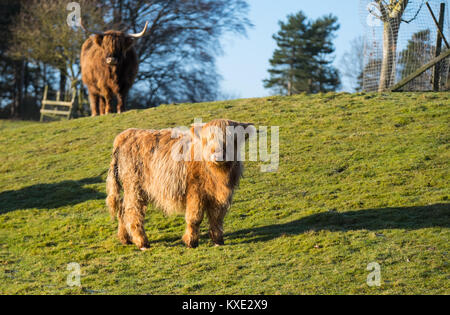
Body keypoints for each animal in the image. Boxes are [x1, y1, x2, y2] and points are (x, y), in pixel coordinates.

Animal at [103, 119, 255, 252]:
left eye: (231, 138)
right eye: (207, 139)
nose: (218, 155)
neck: (218, 175)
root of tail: (125, 135)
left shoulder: (219, 197)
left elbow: (216, 218)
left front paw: (218, 241)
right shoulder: (195, 191)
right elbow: (195, 218)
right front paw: (191, 242)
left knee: (122, 209)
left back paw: (126, 239)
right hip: (134, 187)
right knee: (132, 212)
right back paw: (142, 243)